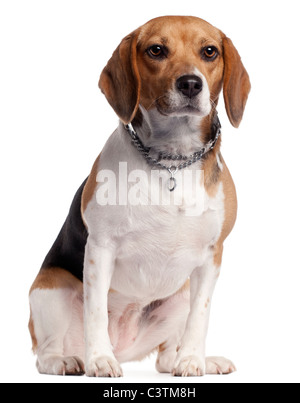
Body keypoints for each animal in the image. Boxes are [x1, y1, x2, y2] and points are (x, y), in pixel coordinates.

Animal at [28, 15, 250, 376]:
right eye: (156, 50)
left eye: (210, 51)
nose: (191, 84)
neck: (173, 159)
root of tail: (125, 347)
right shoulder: (100, 248)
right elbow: (95, 312)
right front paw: (99, 360)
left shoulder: (211, 256)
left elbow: (199, 318)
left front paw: (193, 360)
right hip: (51, 287)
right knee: (44, 353)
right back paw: (69, 360)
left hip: (180, 293)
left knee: (165, 358)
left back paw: (197, 360)